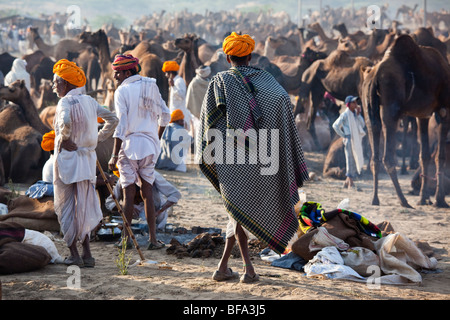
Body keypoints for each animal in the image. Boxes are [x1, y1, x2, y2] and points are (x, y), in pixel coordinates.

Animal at [360, 35, 450, 209]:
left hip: (368, 107)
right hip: (391, 109)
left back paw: (375, 199)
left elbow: (425, 155)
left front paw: (424, 198)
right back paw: (403, 201)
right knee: (388, 157)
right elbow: (440, 156)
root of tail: (374, 77)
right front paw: (439, 200)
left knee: (375, 152)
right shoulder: (444, 110)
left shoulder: (423, 115)